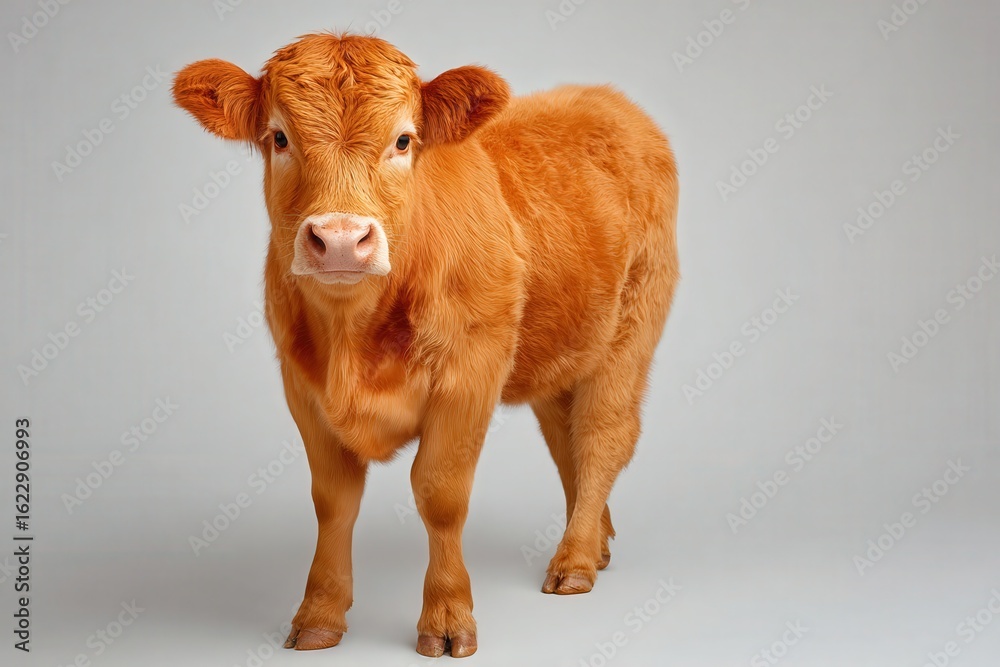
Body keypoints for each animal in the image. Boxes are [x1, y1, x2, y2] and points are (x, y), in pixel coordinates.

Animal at [173, 32, 679, 658]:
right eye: (279, 137)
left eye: (403, 139)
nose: (341, 240)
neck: (353, 338)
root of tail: (604, 97)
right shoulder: (301, 387)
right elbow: (332, 500)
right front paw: (319, 614)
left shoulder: (469, 375)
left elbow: (439, 494)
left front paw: (446, 617)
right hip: (557, 347)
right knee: (568, 445)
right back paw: (598, 540)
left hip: (631, 329)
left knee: (601, 437)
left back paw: (576, 559)